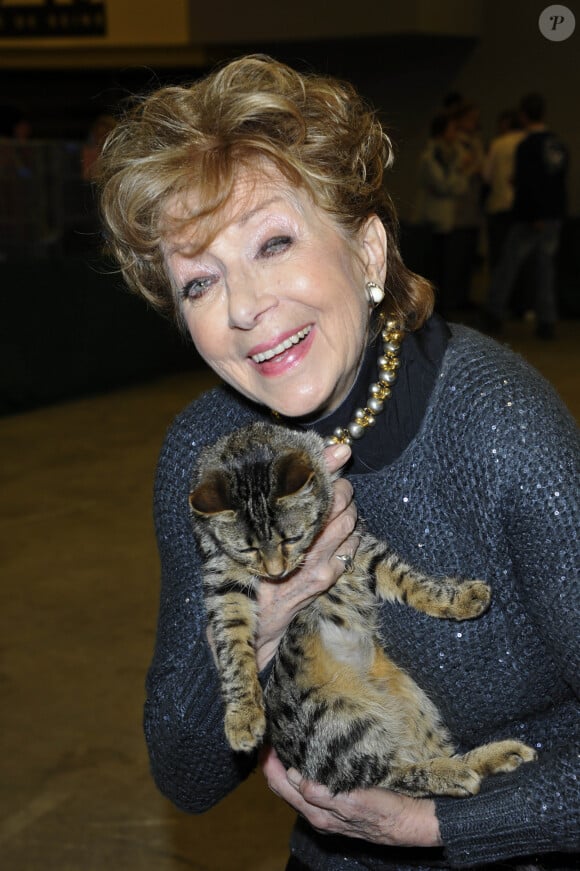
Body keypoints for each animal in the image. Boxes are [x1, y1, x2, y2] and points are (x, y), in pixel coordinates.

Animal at [189, 422, 536, 796]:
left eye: (291, 539)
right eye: (247, 549)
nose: (276, 572)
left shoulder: (359, 545)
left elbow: (408, 579)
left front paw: (456, 599)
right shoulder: (223, 583)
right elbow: (231, 648)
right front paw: (242, 716)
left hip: (411, 704)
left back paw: (493, 756)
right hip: (339, 728)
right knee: (390, 775)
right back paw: (456, 773)